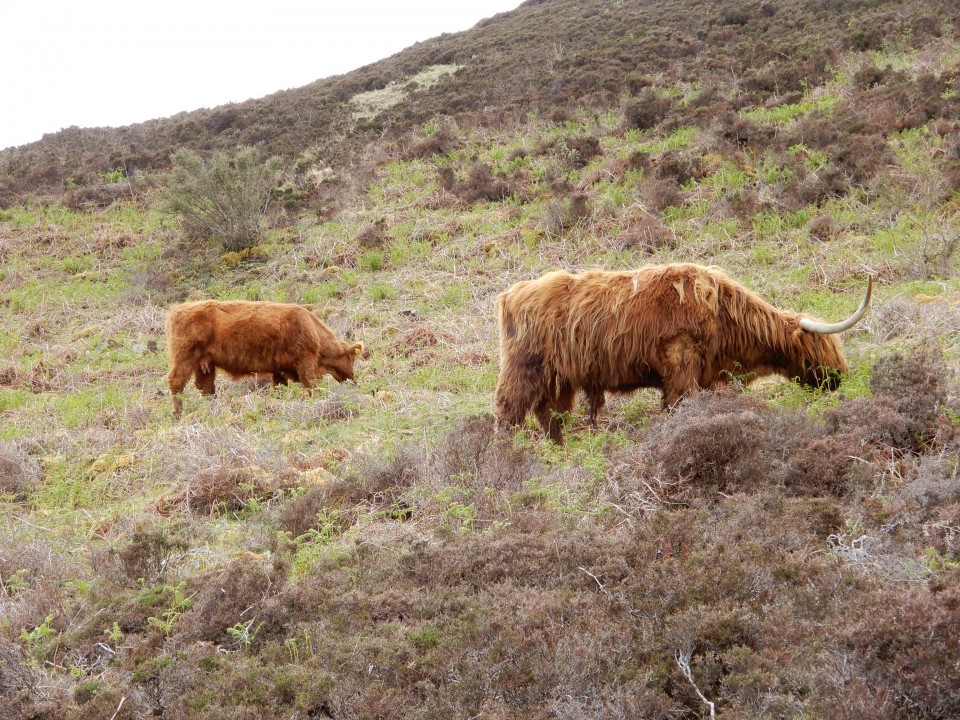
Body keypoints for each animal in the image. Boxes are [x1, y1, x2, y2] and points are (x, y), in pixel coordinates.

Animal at [165, 300, 364, 420]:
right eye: (351, 359)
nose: (354, 381)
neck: (311, 327)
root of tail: (177, 310)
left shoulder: (279, 370)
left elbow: (280, 387)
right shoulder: (304, 362)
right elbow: (311, 384)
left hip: (204, 364)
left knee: (205, 387)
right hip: (184, 358)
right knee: (176, 381)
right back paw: (177, 412)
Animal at [496, 264, 872, 444]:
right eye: (825, 347)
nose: (839, 379)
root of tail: (512, 293)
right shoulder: (680, 366)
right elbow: (681, 408)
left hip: (560, 379)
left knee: (550, 415)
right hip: (523, 368)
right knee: (508, 409)